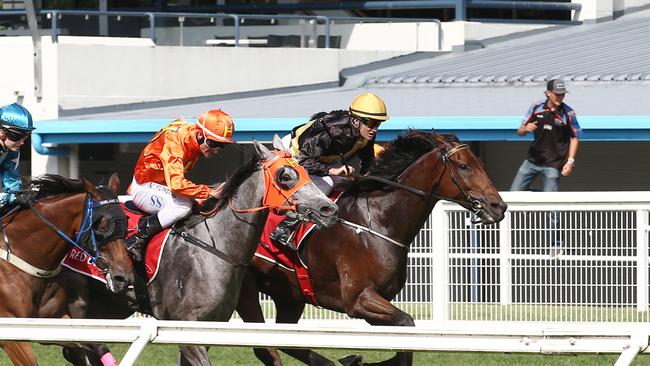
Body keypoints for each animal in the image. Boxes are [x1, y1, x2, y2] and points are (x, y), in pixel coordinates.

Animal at [0, 174, 132, 366]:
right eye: (101, 226)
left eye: (126, 222)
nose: (123, 278)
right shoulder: (12, 336)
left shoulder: (54, 321)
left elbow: (94, 345)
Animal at [233, 132, 506, 366]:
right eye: (463, 166)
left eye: (479, 163)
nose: (498, 207)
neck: (378, 221)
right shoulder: (358, 298)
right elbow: (407, 323)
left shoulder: (378, 301)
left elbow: (402, 345)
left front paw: (358, 359)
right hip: (246, 288)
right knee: (265, 347)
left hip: (289, 294)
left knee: (287, 340)